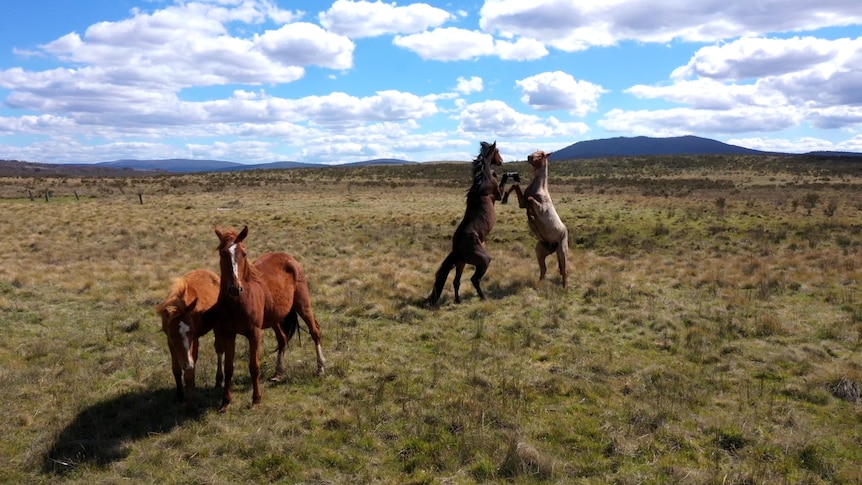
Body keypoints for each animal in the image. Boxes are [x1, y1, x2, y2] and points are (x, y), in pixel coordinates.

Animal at [213, 225, 328, 410]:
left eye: (244, 253)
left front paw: (256, 399)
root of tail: (289, 258)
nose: (235, 288)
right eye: (223, 253)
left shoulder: (254, 333)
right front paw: (225, 402)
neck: (238, 302)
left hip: (303, 304)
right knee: (282, 340)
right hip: (275, 318)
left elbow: (254, 366)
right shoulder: (228, 334)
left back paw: (320, 368)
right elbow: (229, 367)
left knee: (315, 331)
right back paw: (278, 373)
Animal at [430, 140, 510, 304]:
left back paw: (458, 301)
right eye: (497, 151)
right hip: (483, 260)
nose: (501, 161)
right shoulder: (498, 195)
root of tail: (456, 247)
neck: (483, 179)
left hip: (461, 262)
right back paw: (483, 297)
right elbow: (504, 183)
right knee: (474, 279)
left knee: (456, 281)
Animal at [502, 151, 572, 286]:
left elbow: (530, 201)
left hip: (562, 251)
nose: (529, 157)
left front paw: (531, 216)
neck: (539, 189)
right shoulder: (522, 203)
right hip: (540, 252)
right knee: (544, 270)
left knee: (564, 270)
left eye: (542, 155)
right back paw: (539, 284)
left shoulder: (540, 208)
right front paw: (504, 198)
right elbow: (515, 186)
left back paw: (564, 287)